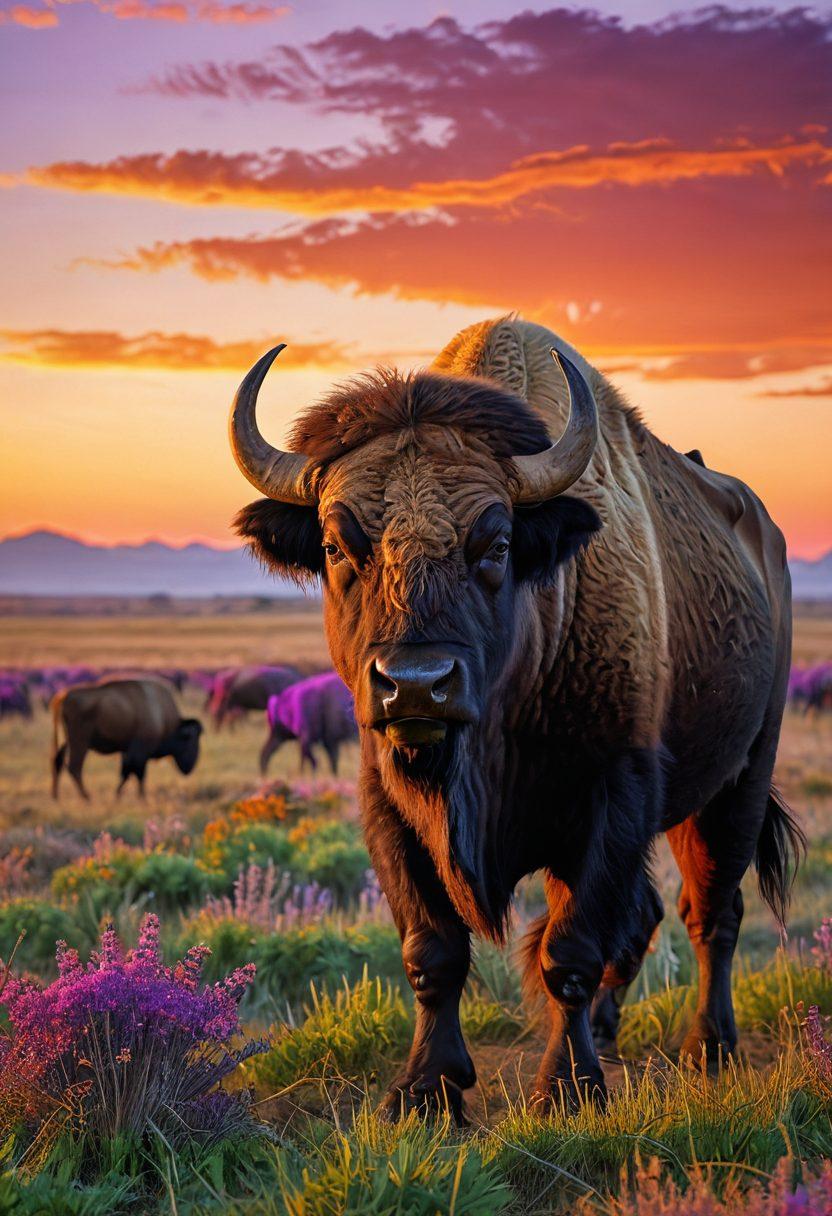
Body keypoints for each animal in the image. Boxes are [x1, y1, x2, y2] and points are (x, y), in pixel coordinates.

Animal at [51, 676, 202, 799]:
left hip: (65, 742)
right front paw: (141, 798)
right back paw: (87, 798)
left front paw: (117, 795)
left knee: (58, 762)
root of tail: (63, 697)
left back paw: (56, 797)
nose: (190, 767)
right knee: (74, 767)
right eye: (190, 740)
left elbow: (126, 772)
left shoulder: (127, 751)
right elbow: (138, 773)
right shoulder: (141, 751)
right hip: (79, 742)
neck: (162, 717)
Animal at [228, 317, 802, 1118]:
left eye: (495, 544)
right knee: (650, 916)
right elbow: (432, 950)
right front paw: (426, 1089)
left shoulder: (611, 798)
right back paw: (613, 1034)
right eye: (338, 546)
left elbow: (570, 949)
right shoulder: (389, 804)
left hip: (739, 780)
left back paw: (708, 1048)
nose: (416, 686)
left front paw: (566, 1088)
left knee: (710, 911)